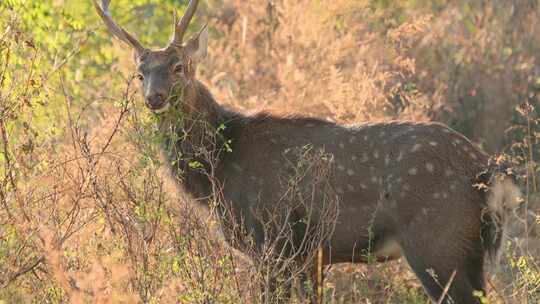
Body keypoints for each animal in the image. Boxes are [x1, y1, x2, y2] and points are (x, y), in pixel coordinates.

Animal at [94, 1, 524, 302]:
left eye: (179, 66)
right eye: (139, 73)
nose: (155, 98)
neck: (220, 173)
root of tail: (489, 172)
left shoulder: (272, 241)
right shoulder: (306, 256)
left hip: (437, 241)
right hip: (470, 251)